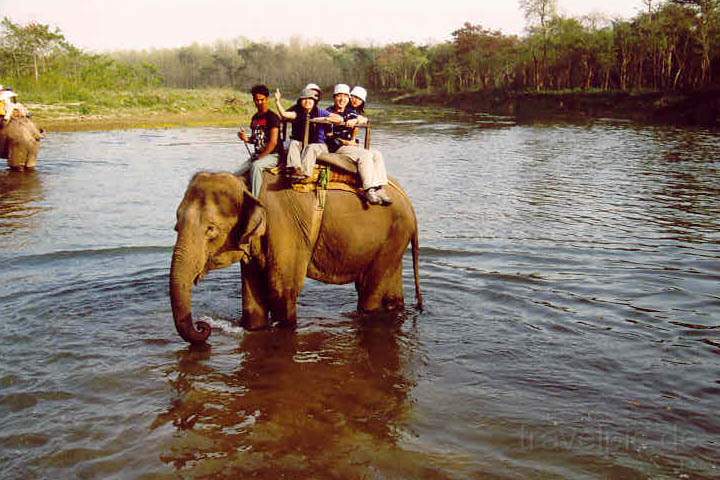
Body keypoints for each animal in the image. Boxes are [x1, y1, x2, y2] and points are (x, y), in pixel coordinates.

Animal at [172, 171, 422, 344]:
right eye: (176, 226)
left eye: (210, 230)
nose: (203, 326)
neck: (246, 183)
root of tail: (409, 202)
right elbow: (252, 294)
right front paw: (254, 327)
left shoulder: (285, 227)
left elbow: (281, 291)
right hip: (393, 241)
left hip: (394, 235)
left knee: (370, 292)